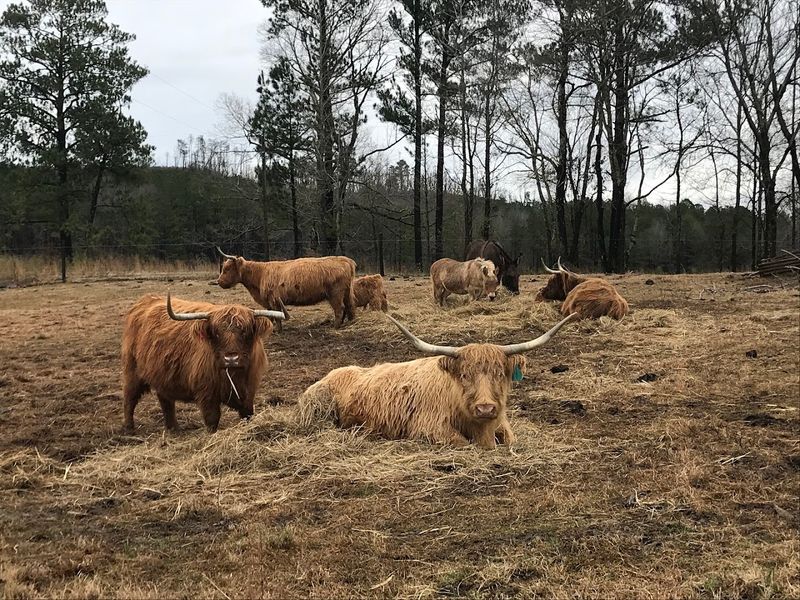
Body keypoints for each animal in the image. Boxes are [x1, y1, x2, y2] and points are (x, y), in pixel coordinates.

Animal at [121, 293, 285, 433]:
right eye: (216, 333)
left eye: (245, 331)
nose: (231, 359)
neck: (233, 375)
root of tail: (146, 300)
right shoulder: (207, 392)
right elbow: (212, 419)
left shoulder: (249, 390)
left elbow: (247, 414)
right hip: (132, 371)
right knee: (130, 397)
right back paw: (129, 428)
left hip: (162, 374)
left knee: (165, 400)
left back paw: (173, 428)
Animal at [216, 247, 356, 328]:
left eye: (227, 269)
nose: (219, 281)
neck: (259, 275)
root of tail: (346, 260)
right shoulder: (269, 301)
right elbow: (270, 316)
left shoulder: (273, 300)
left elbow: (277, 316)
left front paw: (278, 330)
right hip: (347, 291)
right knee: (350, 305)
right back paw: (350, 322)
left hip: (335, 293)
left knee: (340, 309)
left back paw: (335, 326)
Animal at [298, 313, 578, 448]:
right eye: (464, 375)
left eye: (500, 373)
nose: (485, 408)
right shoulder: (428, 428)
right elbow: (462, 443)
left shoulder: (502, 425)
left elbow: (510, 440)